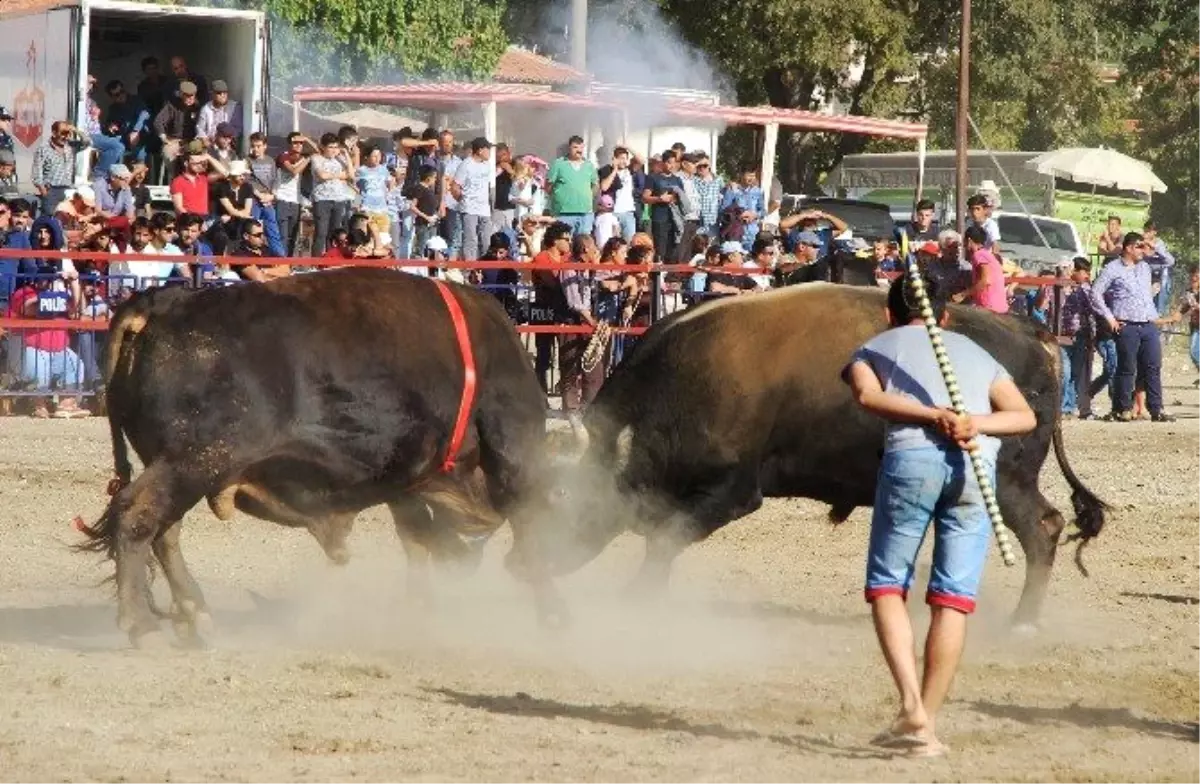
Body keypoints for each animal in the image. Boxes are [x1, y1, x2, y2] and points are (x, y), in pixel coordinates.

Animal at [77, 268, 564, 648]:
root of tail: (166, 303)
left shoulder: (405, 483)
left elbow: (417, 539)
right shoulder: (513, 456)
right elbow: (531, 532)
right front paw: (555, 618)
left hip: (181, 470)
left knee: (164, 530)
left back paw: (195, 615)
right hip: (191, 463)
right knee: (138, 517)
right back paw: (144, 626)